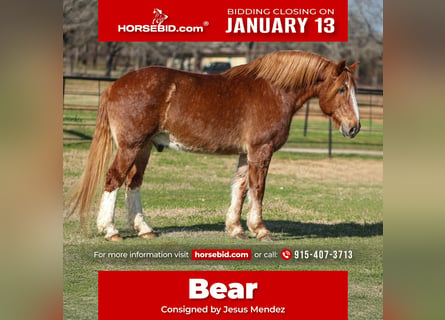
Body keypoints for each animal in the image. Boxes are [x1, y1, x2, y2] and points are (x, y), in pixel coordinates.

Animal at [67, 50, 360, 241]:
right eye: (342, 89)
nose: (354, 127)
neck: (274, 91)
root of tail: (114, 85)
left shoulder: (245, 153)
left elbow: (240, 188)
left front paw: (236, 229)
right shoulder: (261, 150)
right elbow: (258, 188)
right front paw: (260, 229)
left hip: (144, 147)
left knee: (133, 183)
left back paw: (145, 229)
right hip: (131, 146)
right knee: (113, 179)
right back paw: (110, 230)